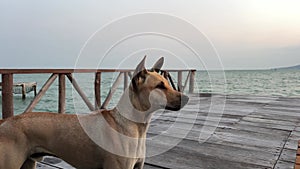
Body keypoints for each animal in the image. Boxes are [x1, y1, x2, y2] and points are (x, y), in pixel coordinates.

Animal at [0, 56, 188, 169]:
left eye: (167, 82)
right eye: (159, 86)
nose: (186, 98)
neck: (134, 125)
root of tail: (5, 122)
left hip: (28, 163)